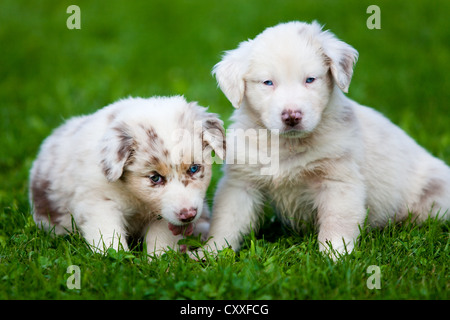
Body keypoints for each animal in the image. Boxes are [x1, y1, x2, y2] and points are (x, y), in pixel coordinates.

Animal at [28, 96, 225, 256]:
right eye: (155, 178)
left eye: (194, 169)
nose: (188, 215)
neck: (136, 197)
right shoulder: (98, 202)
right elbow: (108, 235)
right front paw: (117, 259)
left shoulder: (163, 213)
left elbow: (161, 238)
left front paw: (159, 259)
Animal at [206, 20, 448, 258]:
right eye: (268, 82)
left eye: (310, 80)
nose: (292, 116)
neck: (287, 145)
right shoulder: (241, 183)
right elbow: (227, 220)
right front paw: (211, 252)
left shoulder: (338, 180)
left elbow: (337, 221)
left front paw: (335, 255)